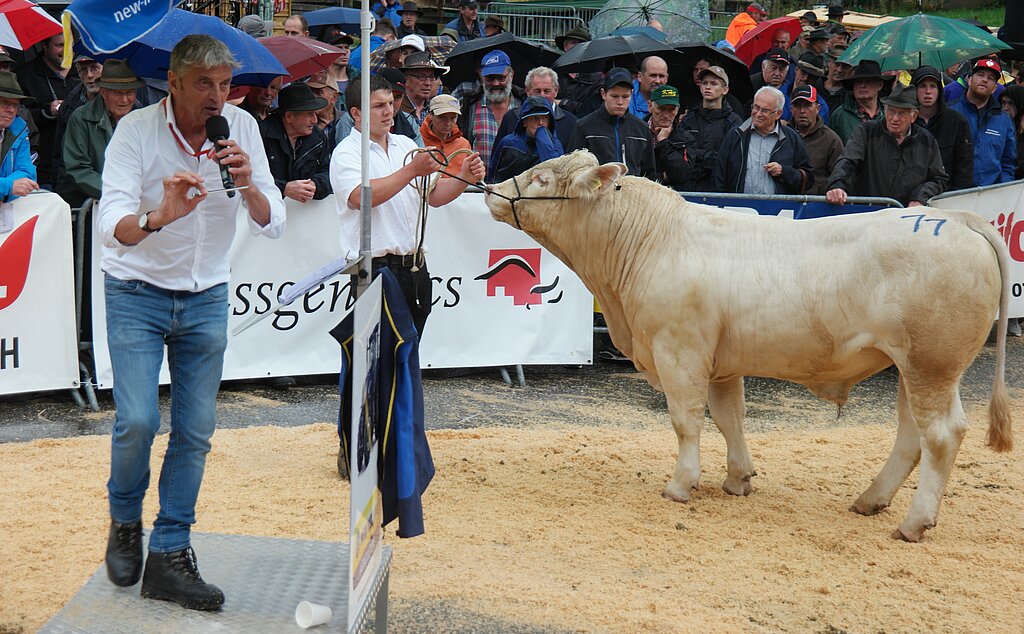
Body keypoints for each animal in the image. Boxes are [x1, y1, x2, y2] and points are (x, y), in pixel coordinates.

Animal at [487, 151, 1015, 544]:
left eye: (542, 177)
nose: (491, 189)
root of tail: (955, 217)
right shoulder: (721, 362)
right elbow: (729, 418)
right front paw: (737, 479)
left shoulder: (678, 351)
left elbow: (687, 421)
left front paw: (681, 485)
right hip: (910, 366)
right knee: (910, 435)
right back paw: (871, 500)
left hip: (931, 365)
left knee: (941, 435)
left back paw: (913, 523)